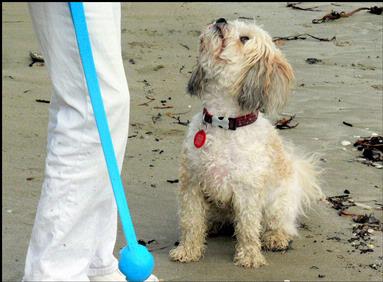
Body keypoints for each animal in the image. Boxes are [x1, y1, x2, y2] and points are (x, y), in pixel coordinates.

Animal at [170, 18, 324, 268]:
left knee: (281, 225)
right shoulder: (192, 184)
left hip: (276, 205)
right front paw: (188, 250)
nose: (221, 20)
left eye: (244, 39)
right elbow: (191, 221)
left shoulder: (247, 190)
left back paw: (275, 237)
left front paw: (250, 255)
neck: (223, 121)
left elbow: (248, 227)